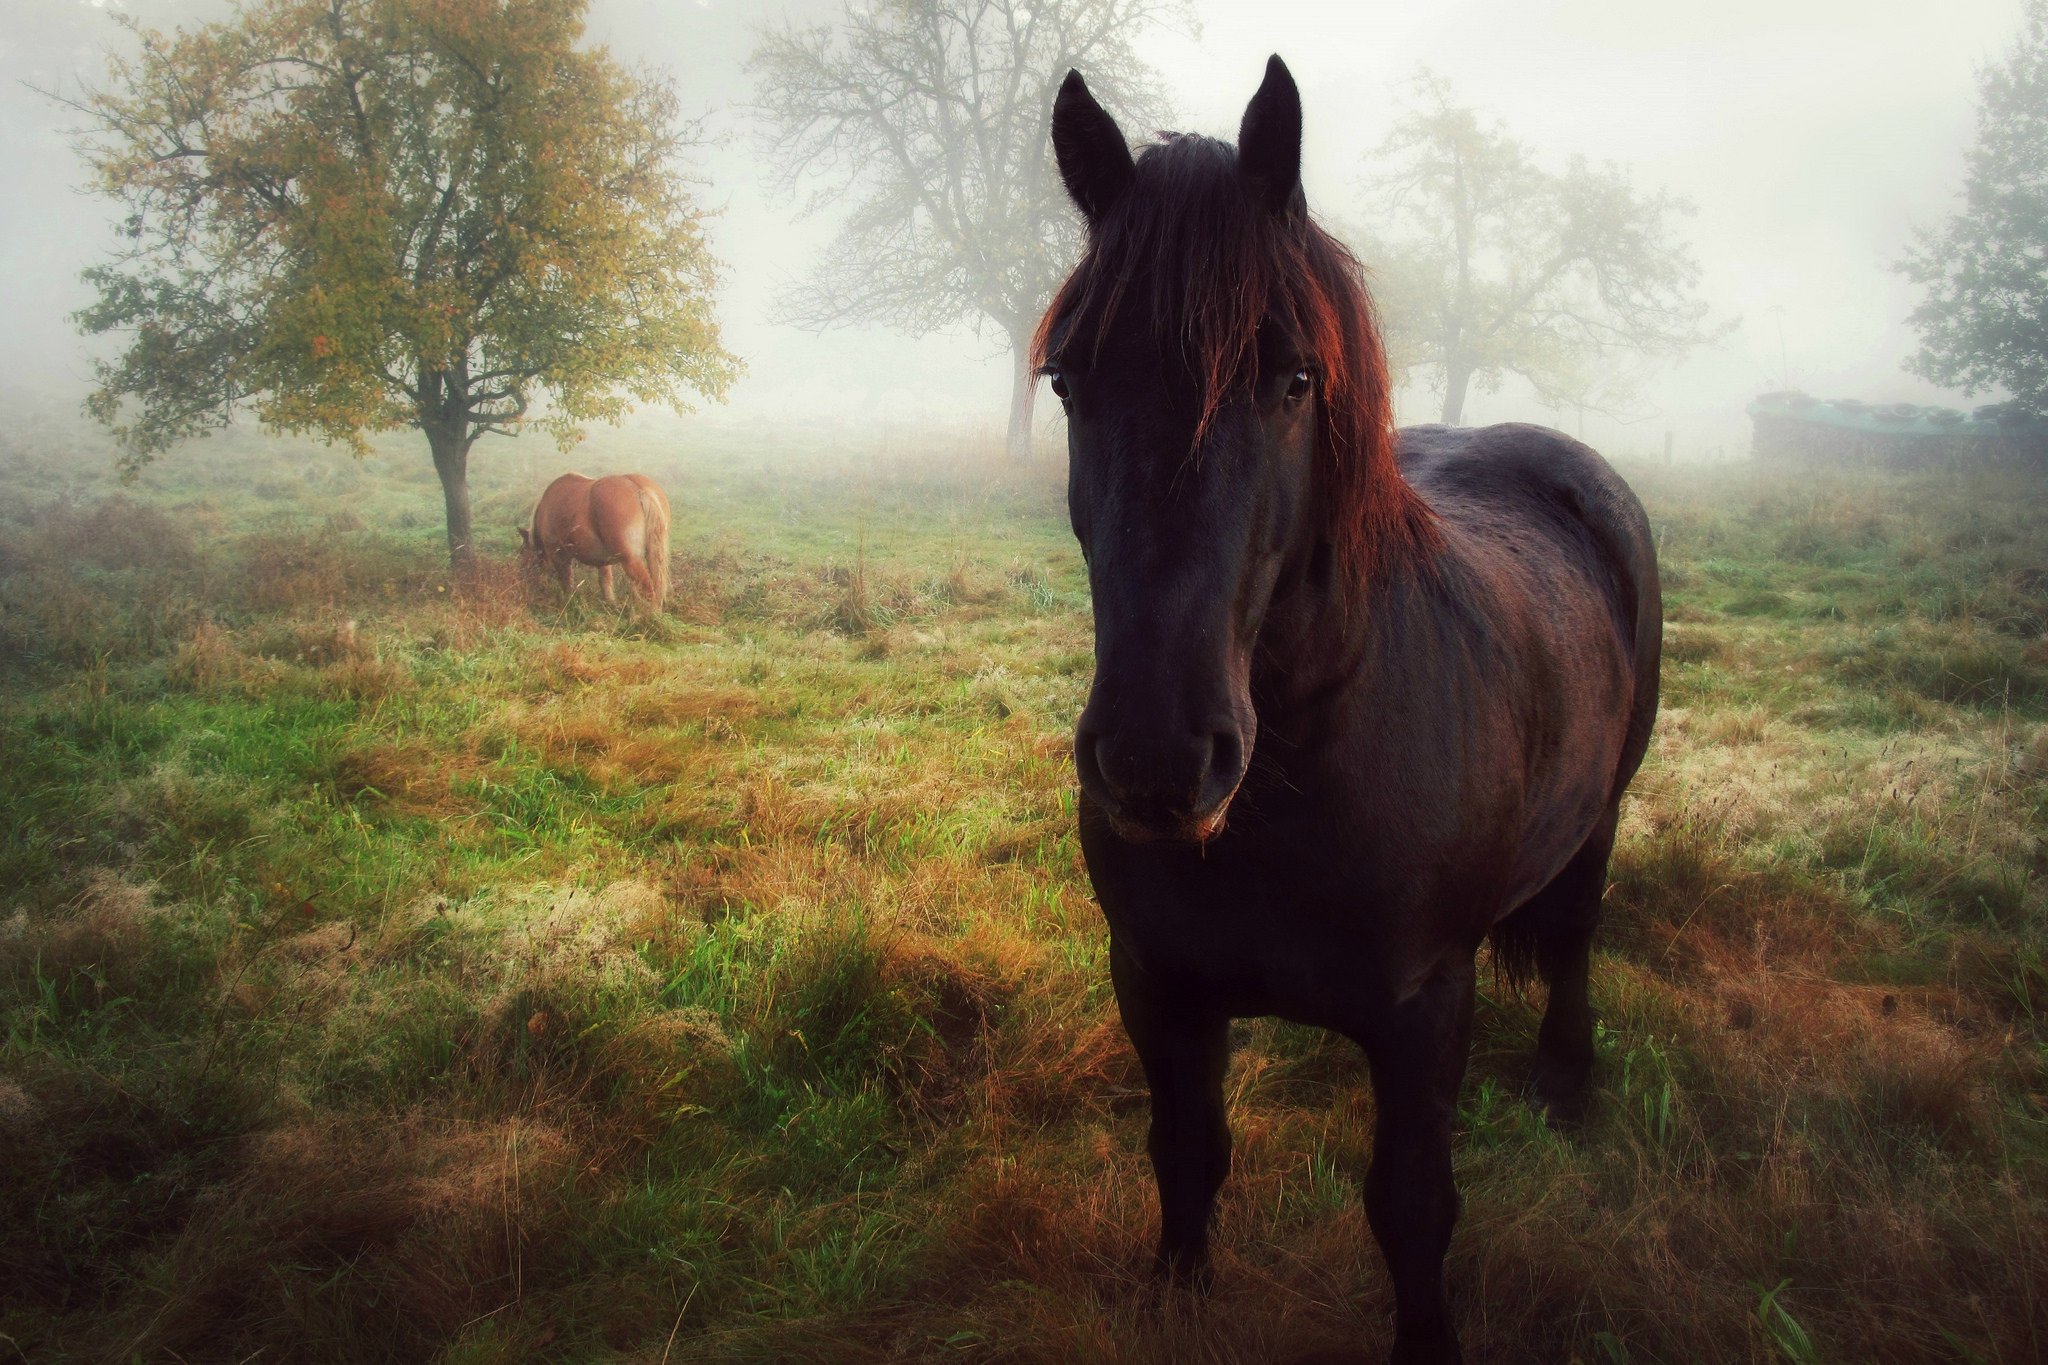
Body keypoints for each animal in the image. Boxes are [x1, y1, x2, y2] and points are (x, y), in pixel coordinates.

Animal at [520, 474, 671, 613]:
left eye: (523, 552)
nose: (527, 580)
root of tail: (639, 488)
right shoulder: (604, 562)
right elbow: (606, 583)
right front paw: (611, 606)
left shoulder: (558, 554)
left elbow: (566, 581)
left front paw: (569, 602)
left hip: (631, 561)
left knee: (648, 588)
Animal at [1040, 56, 1662, 1365]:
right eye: (1068, 380)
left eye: (1291, 379)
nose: (1157, 761)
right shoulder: (1156, 984)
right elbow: (1187, 1154)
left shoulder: (1423, 1013)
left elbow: (1412, 1209)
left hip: (1599, 819)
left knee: (1576, 937)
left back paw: (1567, 1085)